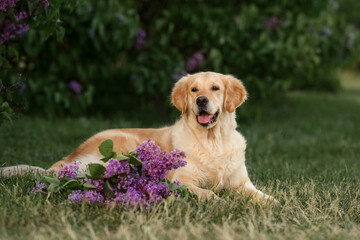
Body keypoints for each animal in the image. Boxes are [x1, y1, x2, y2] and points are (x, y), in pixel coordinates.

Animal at [1, 71, 276, 202]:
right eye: (194, 89)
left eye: (215, 88)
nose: (201, 100)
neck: (212, 142)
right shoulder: (183, 181)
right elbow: (206, 193)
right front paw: (218, 201)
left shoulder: (242, 184)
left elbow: (262, 196)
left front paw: (274, 203)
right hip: (125, 144)